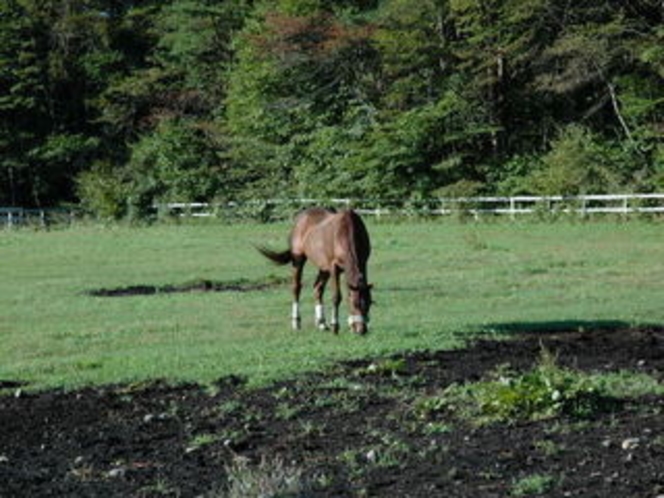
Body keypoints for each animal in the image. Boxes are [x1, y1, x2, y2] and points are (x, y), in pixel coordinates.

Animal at [258, 206, 374, 334]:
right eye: (354, 303)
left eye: (369, 303)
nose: (361, 330)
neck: (346, 231)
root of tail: (300, 218)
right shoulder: (334, 268)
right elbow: (336, 297)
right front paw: (335, 326)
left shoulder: (363, 263)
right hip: (298, 260)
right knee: (296, 287)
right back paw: (296, 322)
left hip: (323, 268)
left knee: (318, 288)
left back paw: (321, 323)